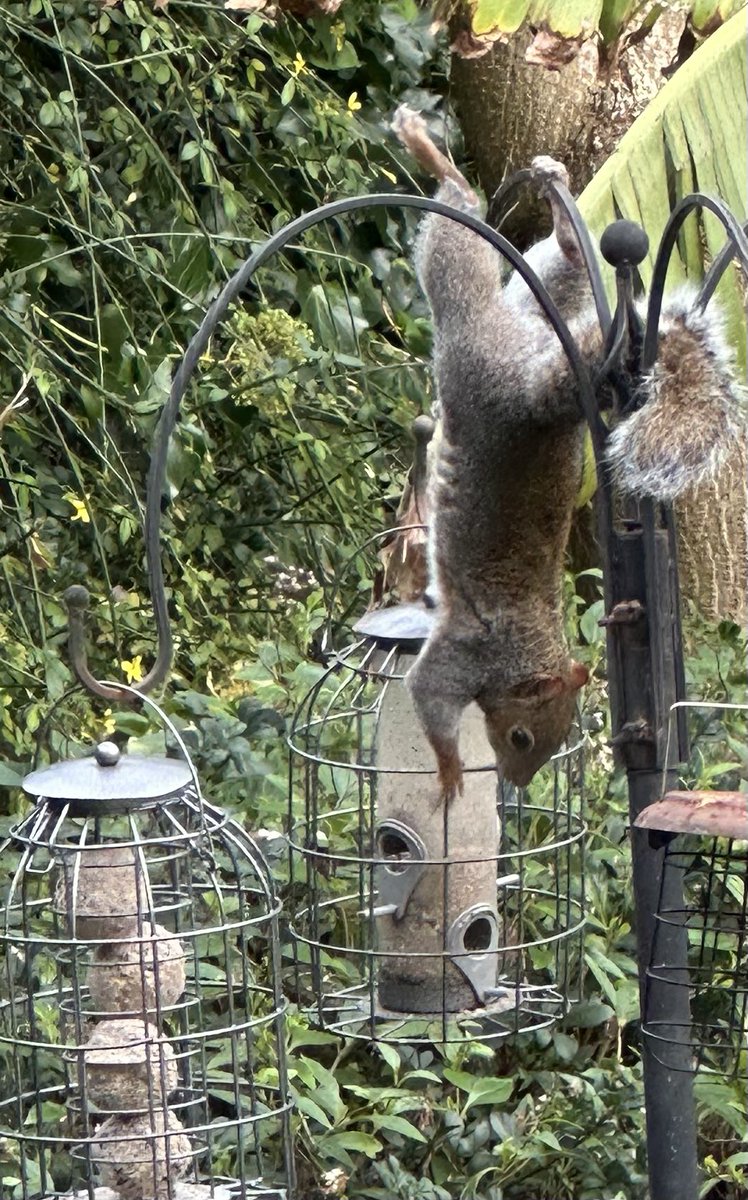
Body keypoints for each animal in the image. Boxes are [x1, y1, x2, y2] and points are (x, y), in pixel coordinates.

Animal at [391, 105, 746, 800]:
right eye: (522, 736)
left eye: (548, 743)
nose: (516, 783)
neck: (527, 645)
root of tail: (526, 380)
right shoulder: (464, 659)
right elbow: (427, 695)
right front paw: (450, 773)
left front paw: (451, 773)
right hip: (471, 334)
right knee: (457, 242)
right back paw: (431, 150)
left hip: (528, 306)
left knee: (558, 260)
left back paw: (551, 216)